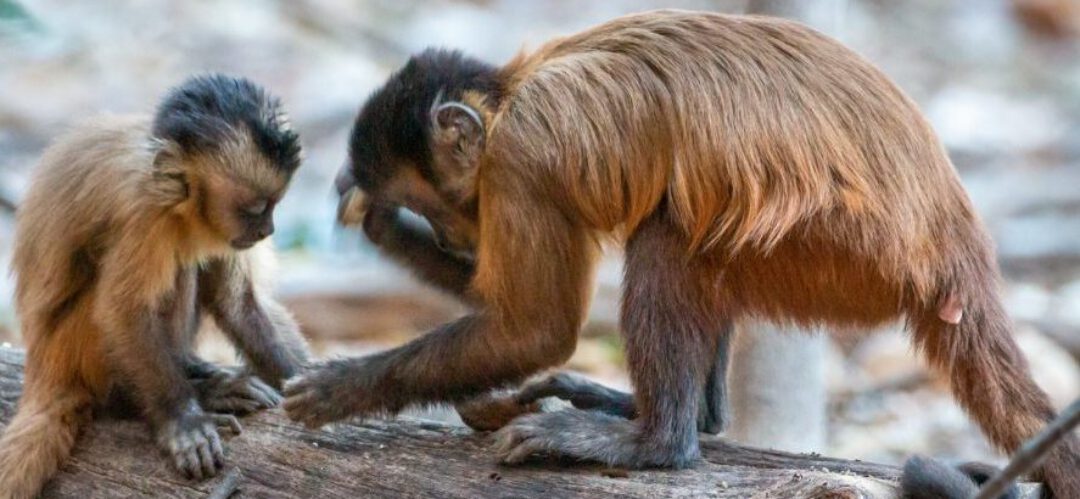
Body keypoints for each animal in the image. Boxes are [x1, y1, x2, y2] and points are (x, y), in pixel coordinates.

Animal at [0, 74, 310, 499]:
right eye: (256, 210)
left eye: (274, 206)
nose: (268, 230)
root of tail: (42, 370)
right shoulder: (145, 212)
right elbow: (124, 311)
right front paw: (183, 423)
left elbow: (238, 303)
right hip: (74, 349)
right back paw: (147, 399)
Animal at [284, 10, 1080, 497]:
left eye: (433, 202)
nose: (449, 235)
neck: (511, 96)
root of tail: (958, 248)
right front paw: (379, 229)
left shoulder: (521, 161)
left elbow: (537, 326)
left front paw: (344, 386)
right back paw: (673, 417)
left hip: (846, 257)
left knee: (670, 233)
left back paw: (658, 443)